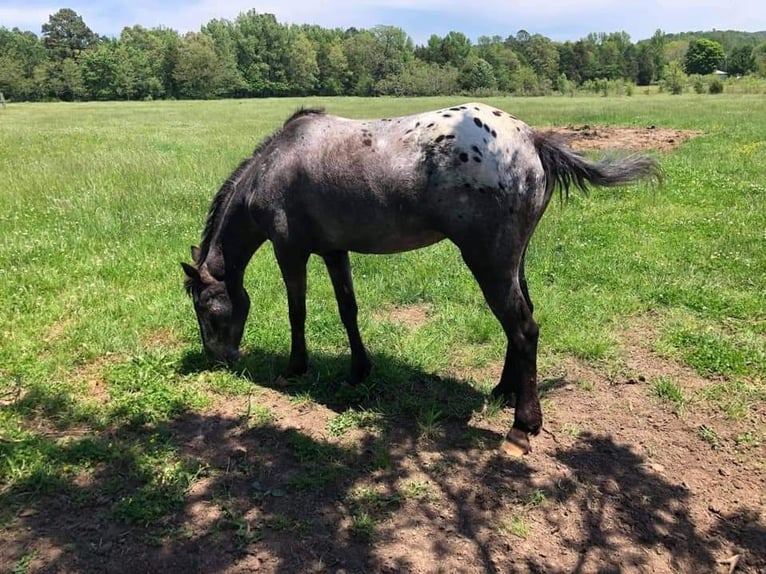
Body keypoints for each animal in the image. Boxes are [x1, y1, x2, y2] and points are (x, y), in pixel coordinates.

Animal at [182, 102, 660, 454]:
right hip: (512, 263)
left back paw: (522, 428)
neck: (276, 165)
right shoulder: (335, 252)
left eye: (205, 309)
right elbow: (348, 309)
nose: (218, 359)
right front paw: (358, 370)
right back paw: (504, 391)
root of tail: (531, 138)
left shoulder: (290, 252)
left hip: (488, 263)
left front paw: (295, 368)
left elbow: (296, 311)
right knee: (520, 322)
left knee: (524, 329)